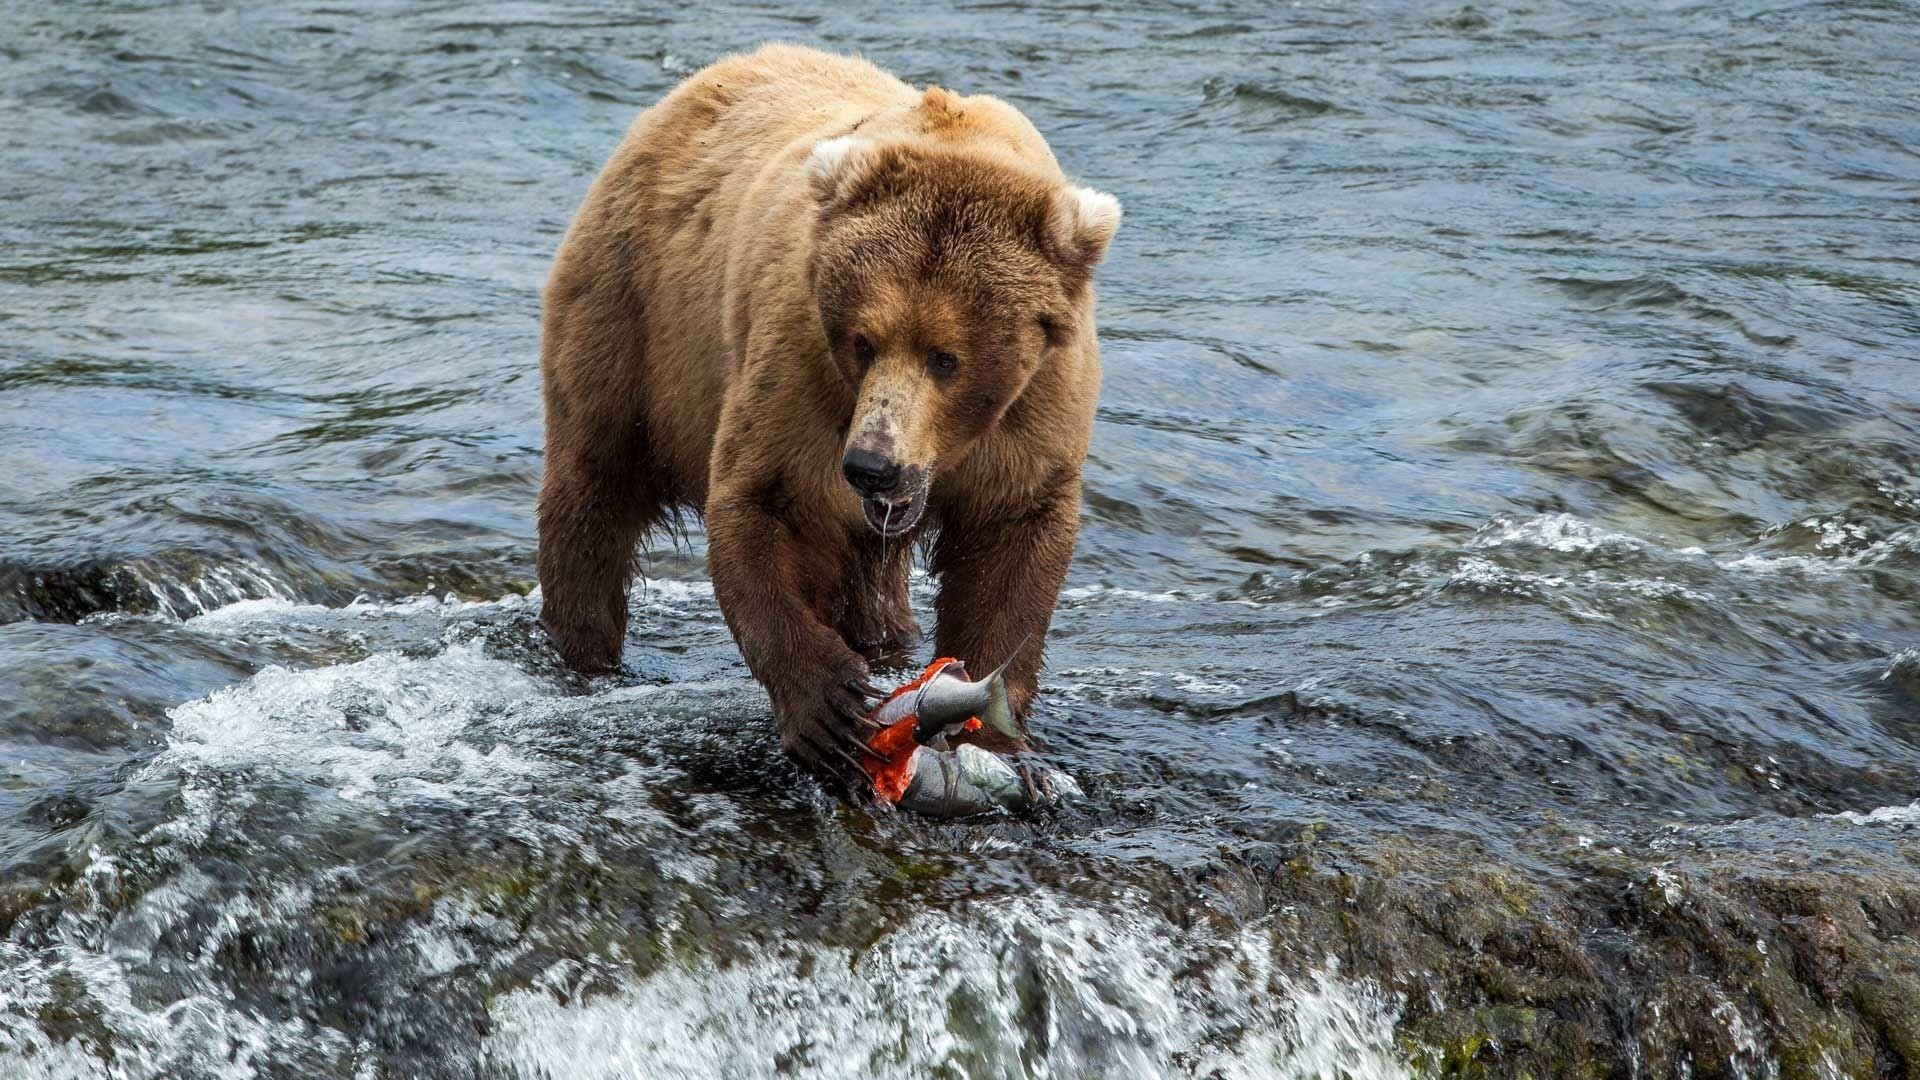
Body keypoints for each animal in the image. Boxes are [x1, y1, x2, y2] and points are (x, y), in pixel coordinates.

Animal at [533, 44, 1121, 791]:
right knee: (594, 487)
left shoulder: (1038, 404)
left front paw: (993, 724)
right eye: (863, 341)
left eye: (947, 358)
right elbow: (763, 501)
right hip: (634, 316)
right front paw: (829, 706)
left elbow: (1014, 541)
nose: (872, 465)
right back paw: (585, 648)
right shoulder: (799, 366)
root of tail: (686, 91)